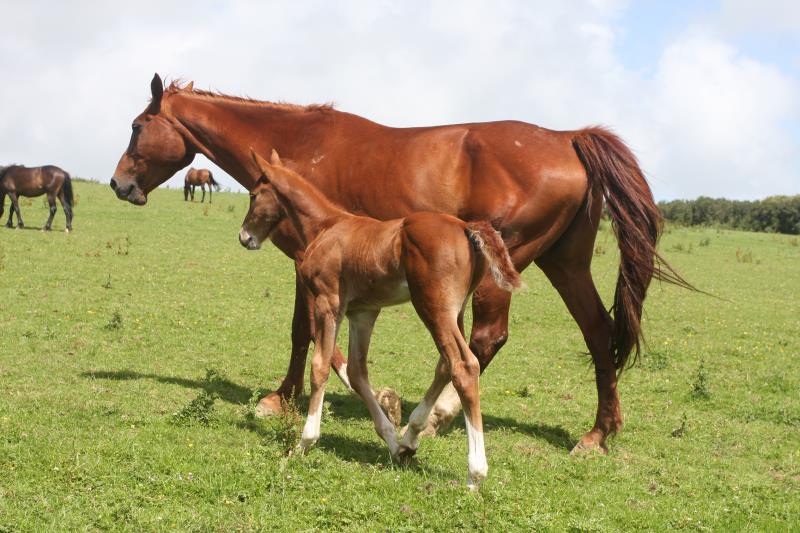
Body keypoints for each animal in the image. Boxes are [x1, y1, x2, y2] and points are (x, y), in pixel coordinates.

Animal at [109, 75, 692, 456]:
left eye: (137, 126)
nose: (119, 183)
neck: (296, 148)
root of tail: (568, 138)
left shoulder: (306, 264)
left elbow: (303, 333)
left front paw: (283, 399)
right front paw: (370, 397)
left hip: (506, 265)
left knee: (482, 342)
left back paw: (434, 419)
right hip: (565, 264)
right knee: (598, 332)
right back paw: (599, 432)